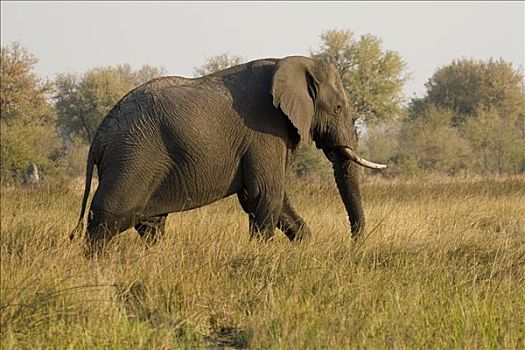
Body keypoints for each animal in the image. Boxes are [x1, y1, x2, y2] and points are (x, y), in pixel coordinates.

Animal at [70, 56, 384, 253]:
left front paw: (304, 245)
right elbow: (264, 194)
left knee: (151, 223)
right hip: (132, 158)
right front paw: (262, 255)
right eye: (339, 109)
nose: (355, 245)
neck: (293, 61)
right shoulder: (264, 131)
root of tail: (98, 138)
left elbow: (271, 197)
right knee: (106, 219)